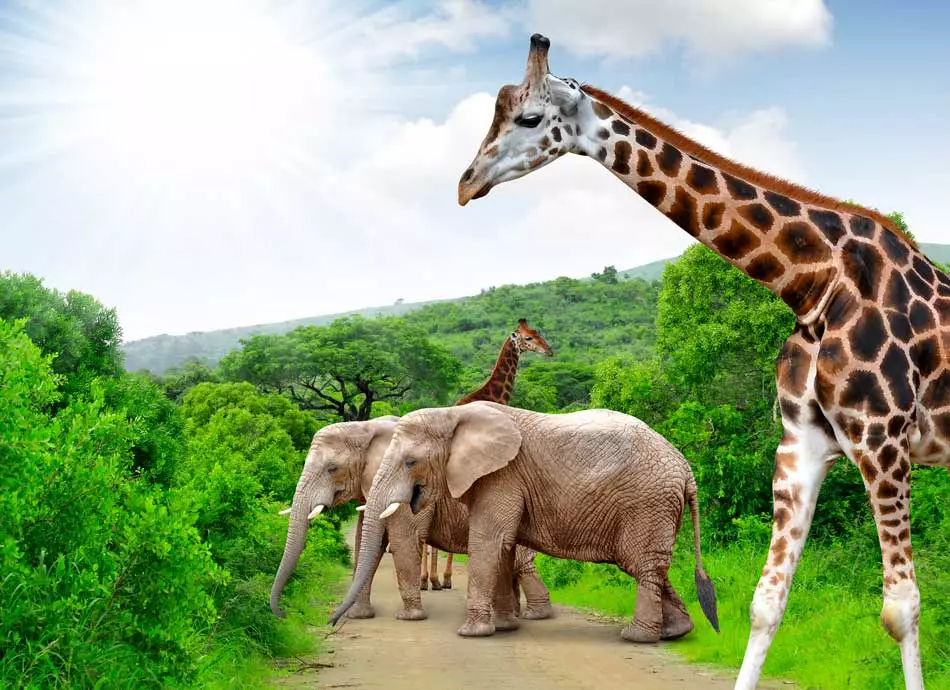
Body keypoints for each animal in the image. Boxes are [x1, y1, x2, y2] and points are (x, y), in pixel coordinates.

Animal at [457, 34, 950, 690]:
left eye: (530, 118)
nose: (465, 185)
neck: (812, 283)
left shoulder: (883, 441)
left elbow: (901, 607)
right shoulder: (803, 444)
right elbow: (766, 603)